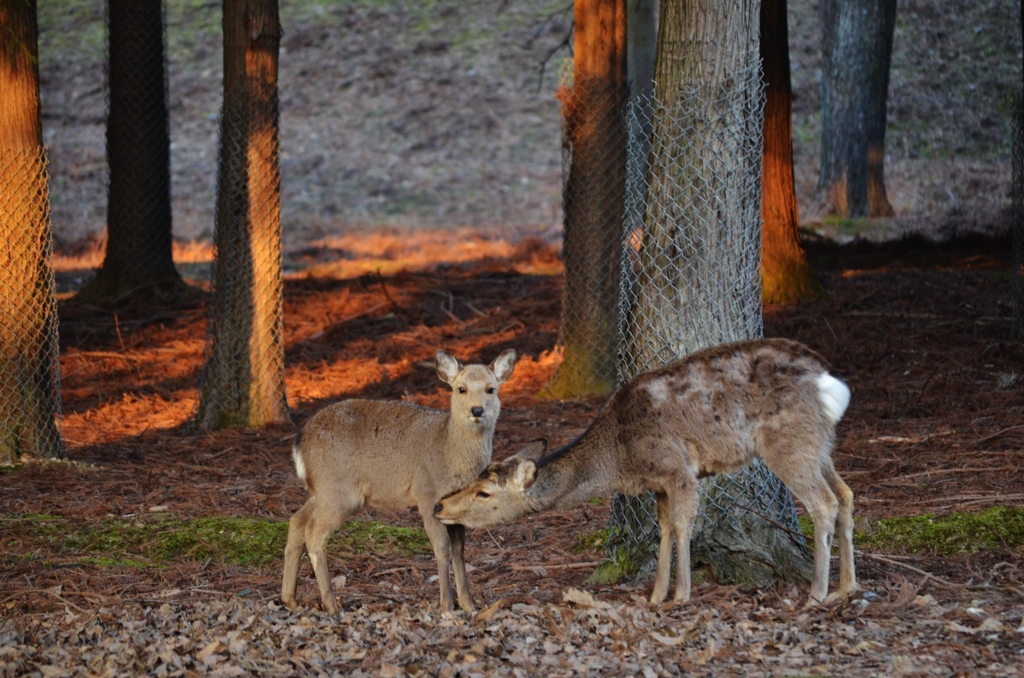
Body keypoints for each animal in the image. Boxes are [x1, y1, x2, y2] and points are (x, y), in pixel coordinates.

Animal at [280, 348, 516, 618]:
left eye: (491, 389)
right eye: (461, 389)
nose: (477, 410)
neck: (448, 452)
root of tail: (299, 442)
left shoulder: (455, 505)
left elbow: (459, 549)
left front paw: (469, 605)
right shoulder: (427, 495)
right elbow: (441, 547)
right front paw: (447, 606)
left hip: (321, 490)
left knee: (296, 521)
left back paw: (290, 599)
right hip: (338, 489)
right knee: (314, 534)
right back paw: (331, 604)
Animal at [434, 340, 856, 610]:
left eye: (485, 492)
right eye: (475, 478)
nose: (440, 506)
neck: (621, 460)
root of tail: (830, 382)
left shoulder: (679, 469)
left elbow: (684, 526)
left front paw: (681, 595)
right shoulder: (659, 484)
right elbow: (665, 529)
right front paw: (655, 595)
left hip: (789, 441)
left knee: (824, 502)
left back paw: (817, 594)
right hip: (820, 443)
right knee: (847, 494)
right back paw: (848, 588)